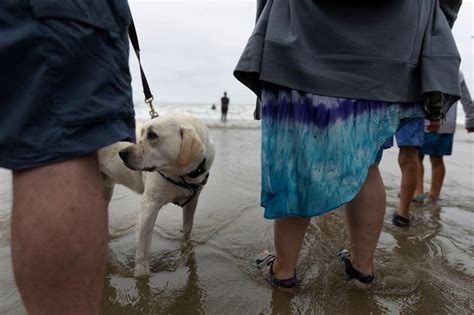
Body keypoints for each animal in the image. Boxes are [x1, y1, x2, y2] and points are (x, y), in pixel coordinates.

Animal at [99, 115, 216, 278]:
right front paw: (141, 275)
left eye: (152, 135)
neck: (182, 175)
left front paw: (186, 248)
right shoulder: (149, 204)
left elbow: (187, 229)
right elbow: (143, 248)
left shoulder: (192, 201)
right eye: (142, 133)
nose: (122, 153)